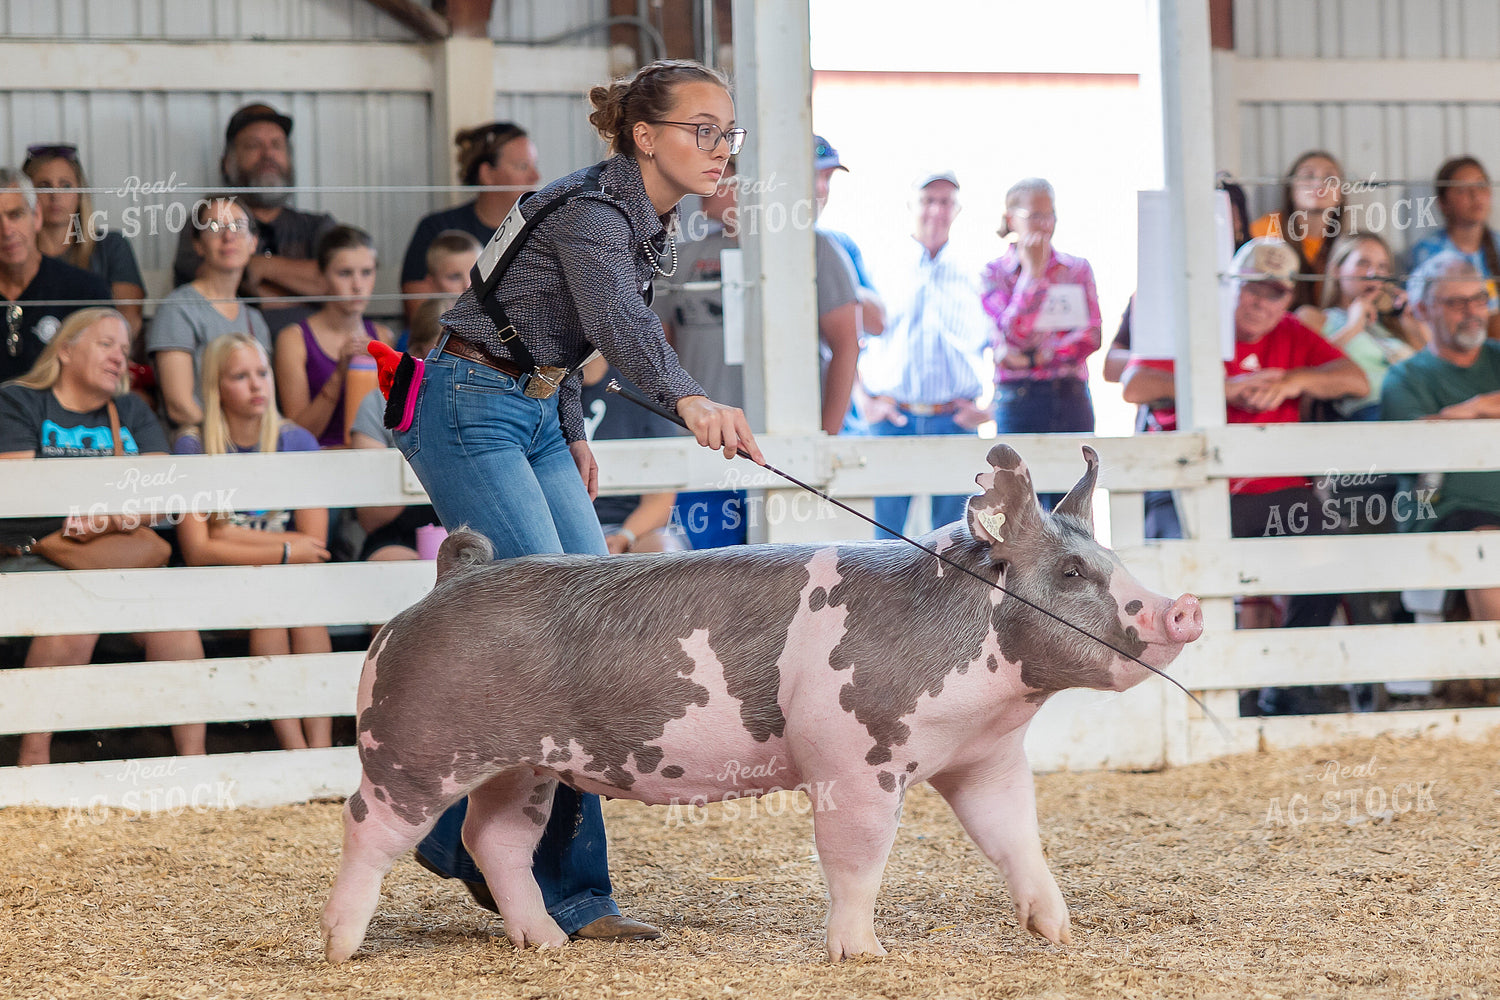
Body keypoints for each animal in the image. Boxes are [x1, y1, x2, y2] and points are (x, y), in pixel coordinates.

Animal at [321, 444, 1202, 963]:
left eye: (1109, 558)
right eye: (1071, 574)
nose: (1185, 607)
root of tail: (449, 580)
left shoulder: (985, 760)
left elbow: (1016, 841)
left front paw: (1059, 931)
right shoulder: (853, 759)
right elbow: (857, 858)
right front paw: (862, 956)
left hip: (523, 766)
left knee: (495, 839)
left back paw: (547, 946)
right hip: (412, 746)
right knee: (367, 826)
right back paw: (338, 950)